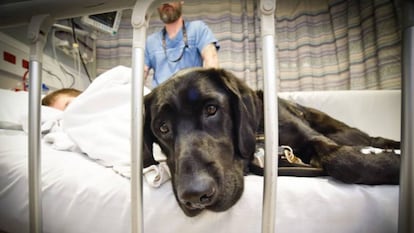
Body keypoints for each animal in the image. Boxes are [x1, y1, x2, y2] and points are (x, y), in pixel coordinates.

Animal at [143, 67, 402, 217]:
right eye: (163, 128)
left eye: (211, 109)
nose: (196, 196)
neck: (260, 132)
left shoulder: (314, 139)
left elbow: (343, 160)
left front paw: (392, 165)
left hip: (342, 132)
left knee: (370, 139)